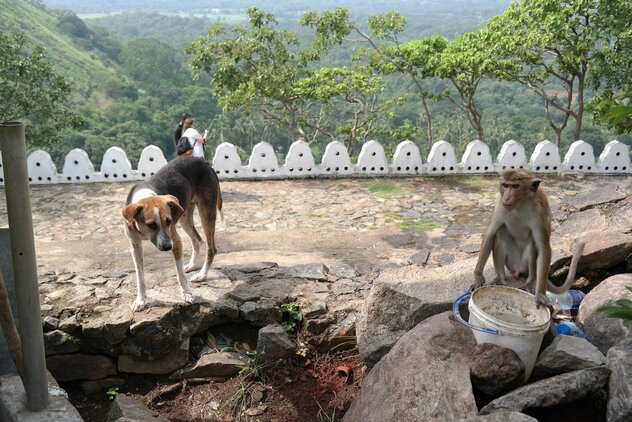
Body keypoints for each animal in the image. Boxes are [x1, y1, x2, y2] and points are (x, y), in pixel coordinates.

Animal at [122, 157, 223, 312]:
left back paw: (202, 275)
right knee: (197, 240)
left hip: (206, 212)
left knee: (211, 248)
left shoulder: (176, 239)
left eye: (168, 221)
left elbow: (180, 274)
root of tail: (202, 161)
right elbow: (140, 277)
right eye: (151, 225)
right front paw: (140, 300)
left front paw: (187, 294)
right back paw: (192, 265)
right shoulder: (135, 245)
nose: (167, 246)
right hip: (184, 216)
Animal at [472, 169, 584, 310]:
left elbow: (543, 247)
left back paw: (530, 283)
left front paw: (540, 294)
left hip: (525, 265)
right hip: (510, 263)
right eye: (505, 185)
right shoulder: (499, 205)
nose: (506, 197)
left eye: (515, 186)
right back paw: (500, 278)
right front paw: (478, 277)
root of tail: (517, 269)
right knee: (501, 231)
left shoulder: (538, 212)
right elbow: (490, 234)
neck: (519, 205)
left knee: (532, 241)